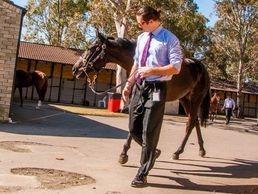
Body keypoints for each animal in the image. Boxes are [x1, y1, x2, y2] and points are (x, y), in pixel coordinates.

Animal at [72, 33, 210, 162]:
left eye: (91, 48)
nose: (75, 69)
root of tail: (201, 67)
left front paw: (124, 154)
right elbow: (133, 125)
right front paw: (152, 151)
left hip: (195, 99)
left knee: (191, 123)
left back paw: (178, 151)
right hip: (185, 100)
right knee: (194, 121)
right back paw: (200, 150)